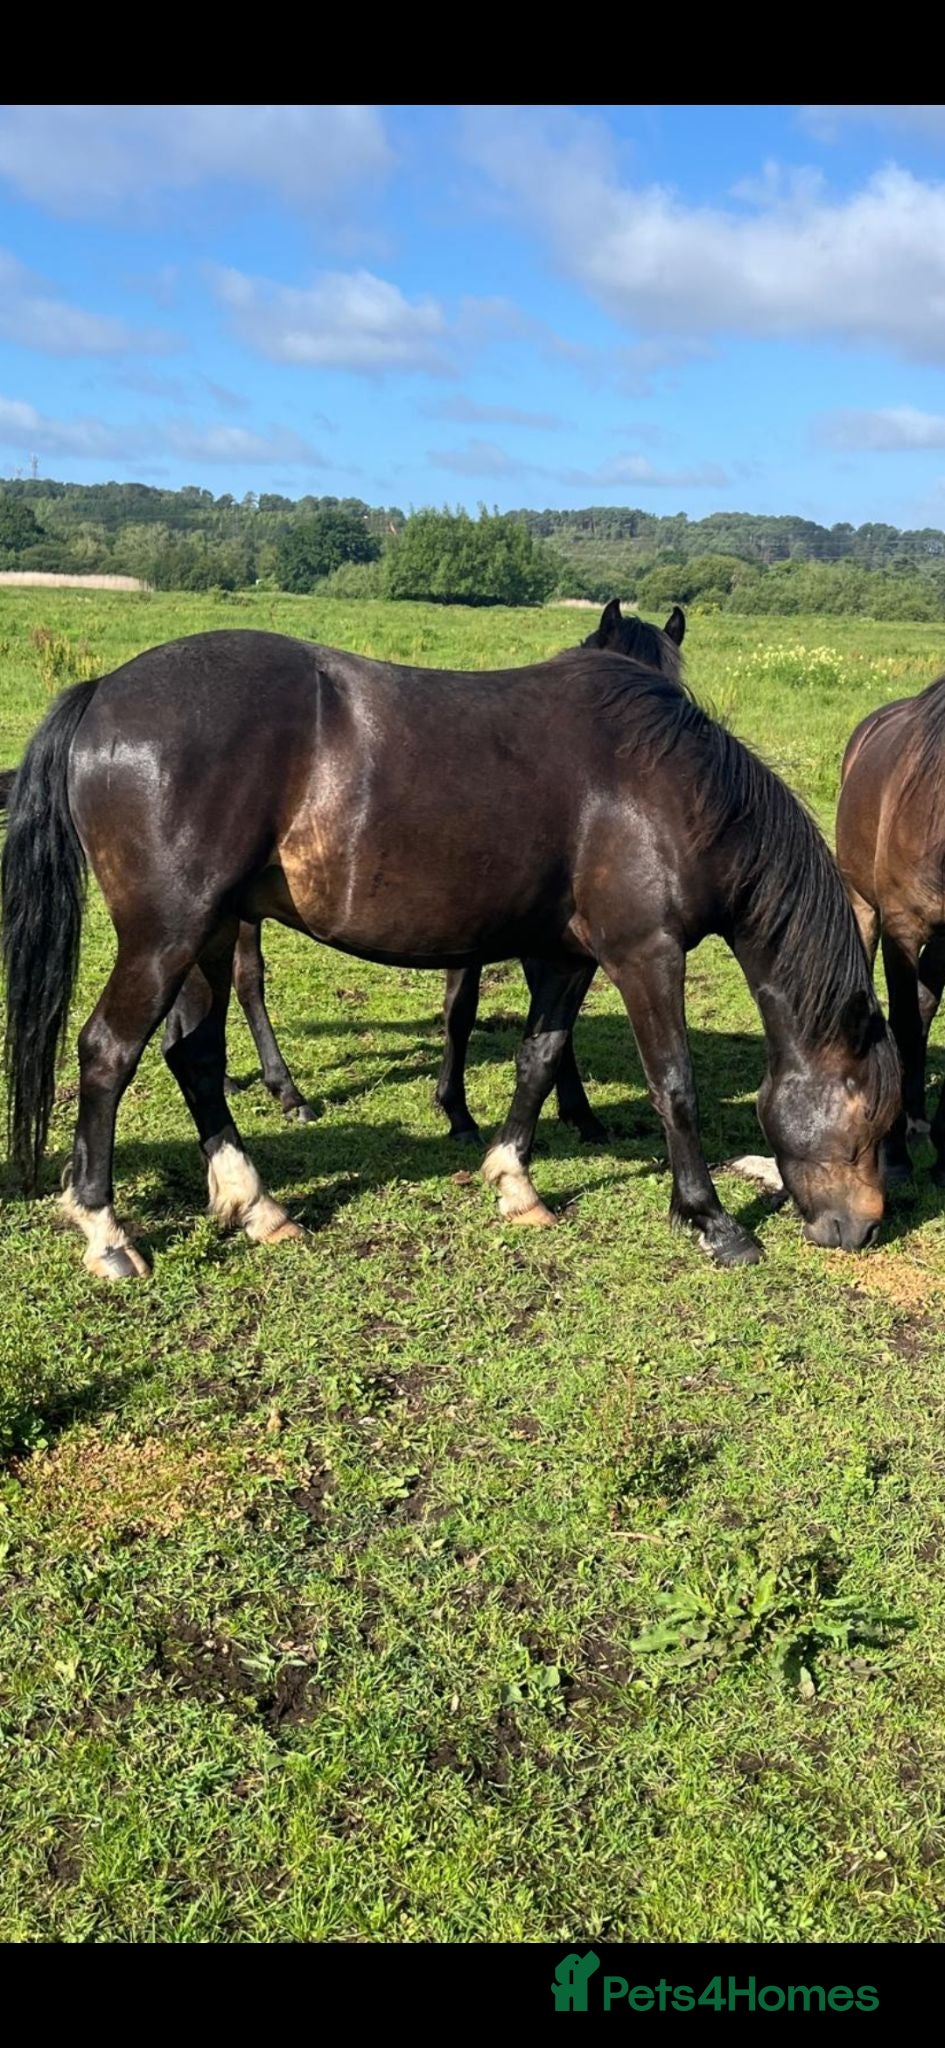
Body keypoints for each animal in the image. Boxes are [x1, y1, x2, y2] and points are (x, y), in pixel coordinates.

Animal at [2, 625, 899, 1281]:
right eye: (865, 1117)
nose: (859, 1230)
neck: (670, 790)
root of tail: (101, 693)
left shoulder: (569, 957)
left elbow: (540, 1059)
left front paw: (515, 1183)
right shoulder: (645, 954)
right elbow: (672, 1084)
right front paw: (710, 1220)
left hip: (212, 935)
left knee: (194, 1057)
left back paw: (257, 1206)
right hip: (167, 934)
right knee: (108, 1054)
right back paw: (106, 1233)